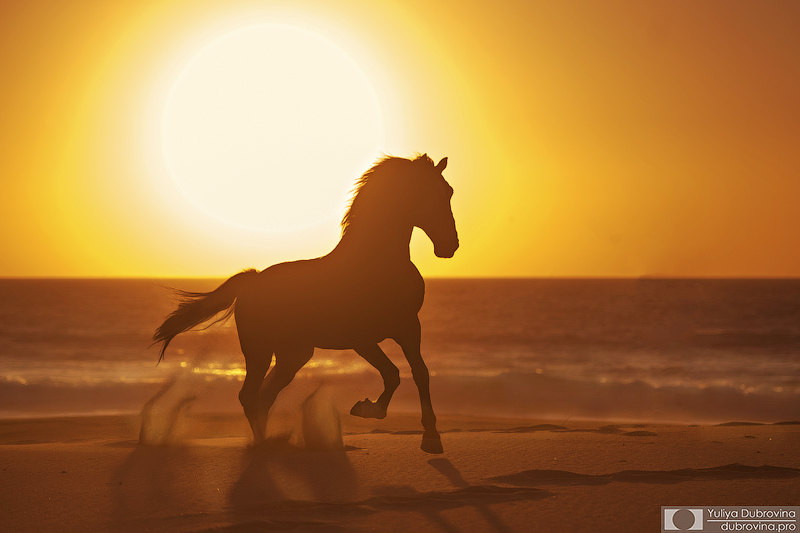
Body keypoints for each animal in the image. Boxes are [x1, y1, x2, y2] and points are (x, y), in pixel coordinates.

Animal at [153, 154, 460, 454]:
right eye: (427, 193)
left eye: (448, 192)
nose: (450, 246)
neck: (376, 264)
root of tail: (253, 279)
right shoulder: (361, 339)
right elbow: (393, 373)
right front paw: (366, 409)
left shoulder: (408, 327)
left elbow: (420, 373)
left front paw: (431, 438)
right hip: (259, 350)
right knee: (250, 395)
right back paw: (263, 445)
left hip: (294, 355)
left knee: (265, 396)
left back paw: (272, 442)